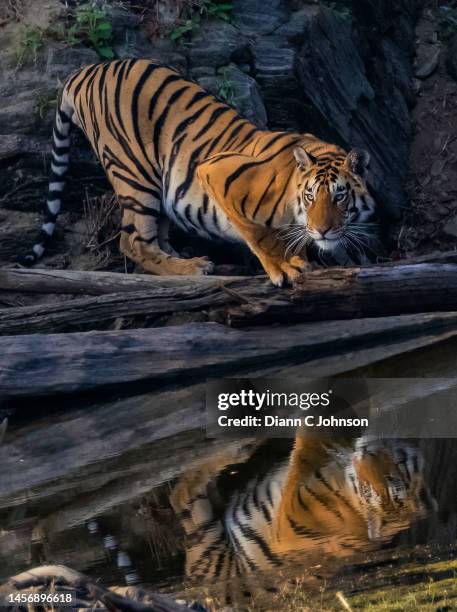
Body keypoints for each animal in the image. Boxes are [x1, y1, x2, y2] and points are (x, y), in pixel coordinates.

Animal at [21, 58, 376, 286]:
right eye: (310, 196)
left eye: (340, 197)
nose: (322, 231)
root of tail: (86, 70)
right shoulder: (217, 173)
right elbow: (259, 234)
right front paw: (284, 269)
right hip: (135, 175)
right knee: (133, 241)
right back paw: (193, 269)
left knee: (155, 235)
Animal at [170, 436, 434, 608]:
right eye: (397, 465)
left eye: (393, 472)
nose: (365, 451)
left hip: (210, 546)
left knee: (182, 490)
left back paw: (241, 447)